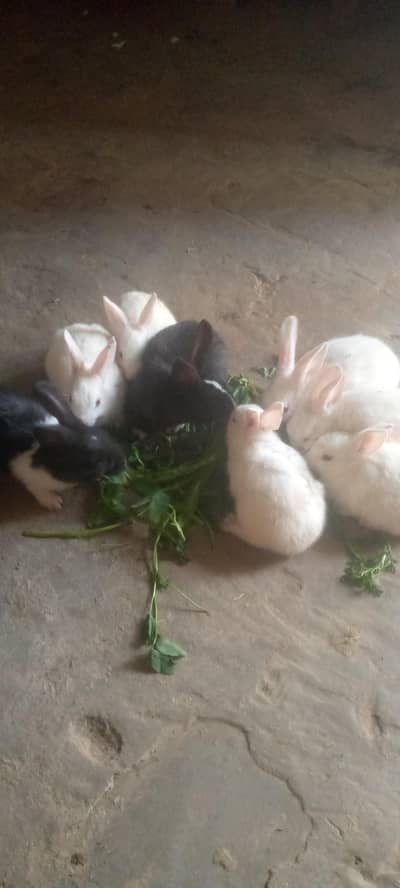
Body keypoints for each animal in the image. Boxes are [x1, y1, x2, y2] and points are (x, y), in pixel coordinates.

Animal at [1, 381, 125, 510]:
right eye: (99, 462)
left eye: (106, 434)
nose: (123, 464)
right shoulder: (25, 474)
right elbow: (35, 487)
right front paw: (54, 502)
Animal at [223, 402, 326, 555]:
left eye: (234, 420)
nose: (229, 415)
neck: (255, 440)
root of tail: (304, 544)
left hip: (249, 520)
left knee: (246, 535)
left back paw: (227, 522)